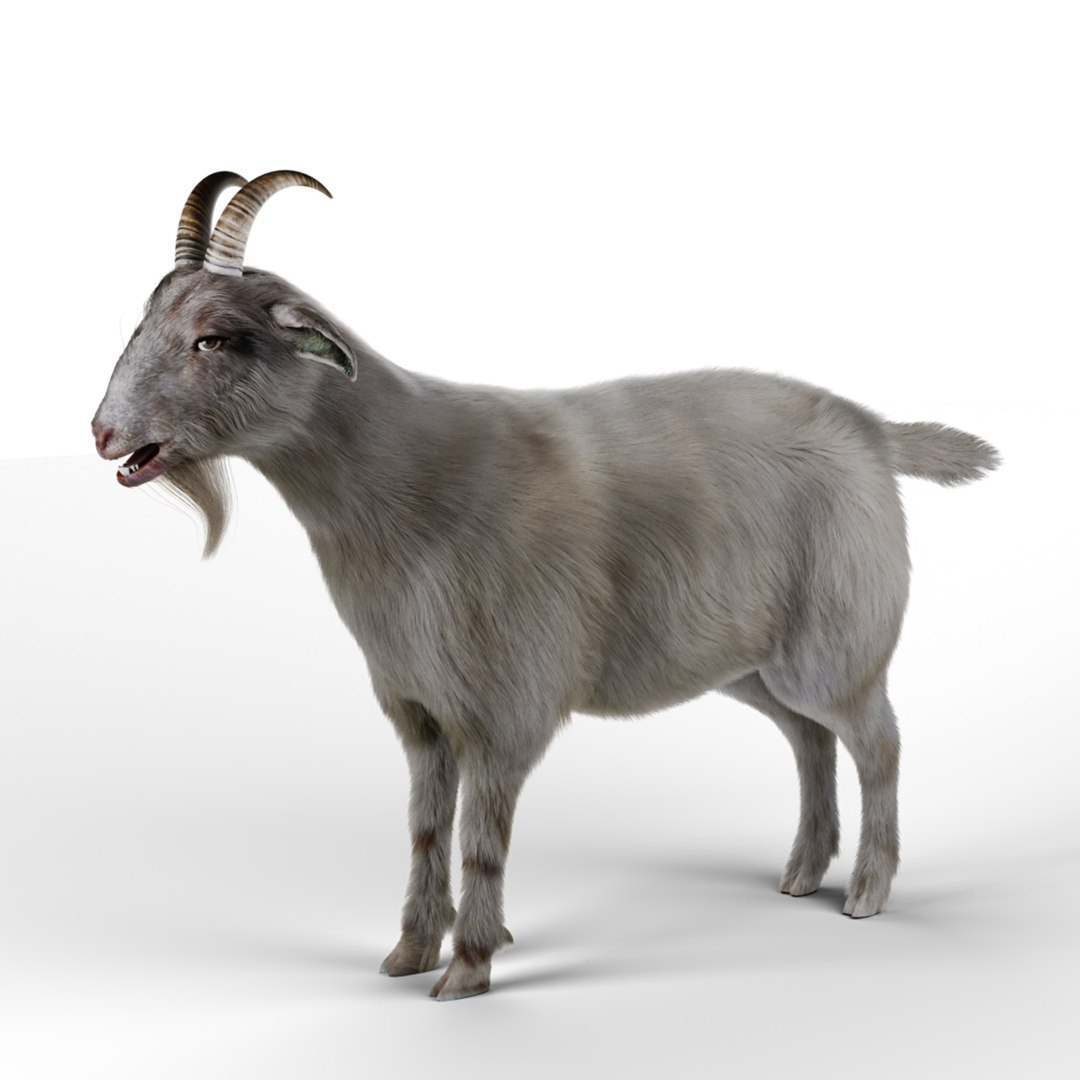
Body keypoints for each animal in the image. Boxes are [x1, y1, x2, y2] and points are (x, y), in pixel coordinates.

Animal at [92, 171, 999, 1000]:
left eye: (215, 339)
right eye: (145, 321)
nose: (104, 434)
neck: (406, 480)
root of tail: (873, 431)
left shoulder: (505, 708)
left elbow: (479, 838)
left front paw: (467, 967)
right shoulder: (419, 711)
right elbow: (426, 829)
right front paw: (408, 953)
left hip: (839, 642)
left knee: (876, 743)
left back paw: (868, 891)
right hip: (756, 665)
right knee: (809, 741)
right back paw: (804, 872)